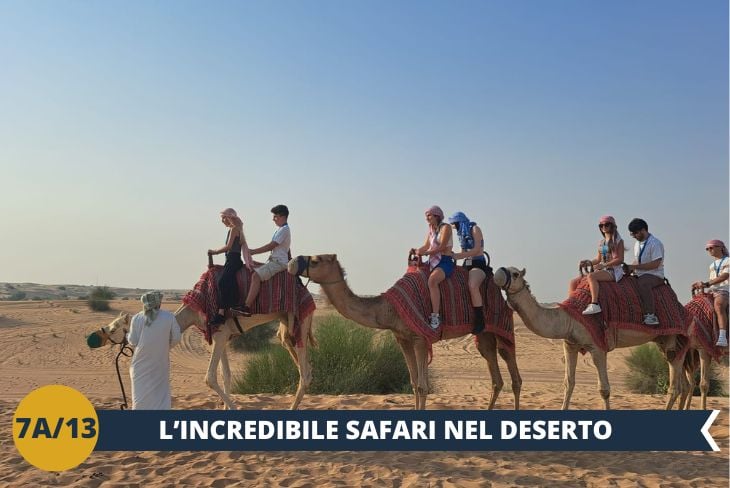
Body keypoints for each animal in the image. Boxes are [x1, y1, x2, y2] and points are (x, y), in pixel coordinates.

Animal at [91, 306, 312, 410]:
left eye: (114, 328)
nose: (95, 337)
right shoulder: (222, 337)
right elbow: (226, 375)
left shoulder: (220, 334)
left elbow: (210, 377)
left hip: (299, 324)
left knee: (305, 374)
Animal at [288, 255, 520, 412]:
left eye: (316, 260)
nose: (292, 262)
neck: (389, 308)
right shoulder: (403, 339)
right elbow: (414, 384)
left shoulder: (420, 339)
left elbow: (423, 386)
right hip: (484, 335)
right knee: (495, 376)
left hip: (501, 325)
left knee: (512, 371)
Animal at [490, 264, 688, 410]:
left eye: (515, 274)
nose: (497, 273)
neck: (568, 318)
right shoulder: (570, 344)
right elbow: (568, 383)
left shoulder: (597, 346)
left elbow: (604, 389)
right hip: (663, 340)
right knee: (679, 381)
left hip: (676, 334)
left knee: (675, 386)